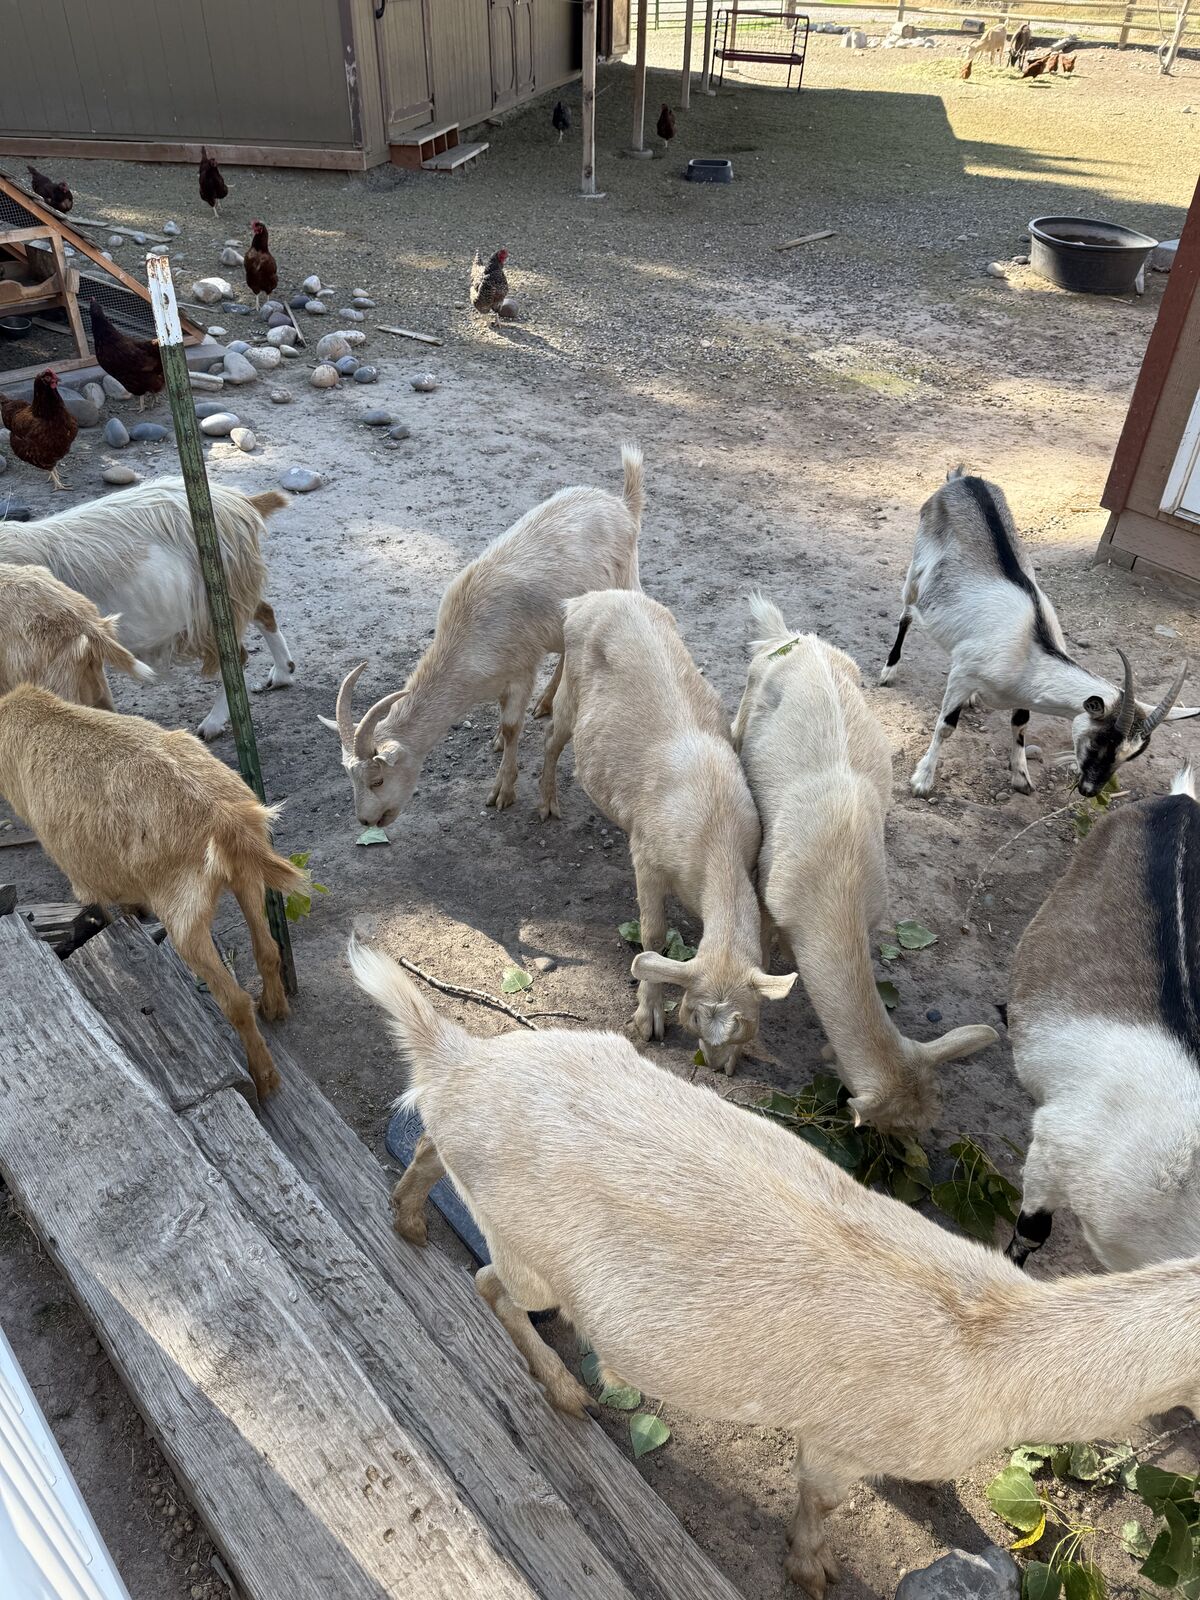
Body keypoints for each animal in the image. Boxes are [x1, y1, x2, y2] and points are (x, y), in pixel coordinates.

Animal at [0, 685, 304, 1099]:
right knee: (268, 950)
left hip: (184, 916)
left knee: (234, 1000)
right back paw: (274, 1009)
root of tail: (224, 818)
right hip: (247, 877)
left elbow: (98, 906)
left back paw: (265, 1076)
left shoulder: (78, 869)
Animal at [322, 445, 643, 829]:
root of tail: (622, 504)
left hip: (626, 577)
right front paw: (497, 742)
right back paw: (545, 702)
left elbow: (512, 725)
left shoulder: (522, 668)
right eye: (350, 778)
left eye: (378, 779)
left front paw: (502, 791)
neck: (468, 637)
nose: (367, 821)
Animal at [352, 938, 1200, 1600]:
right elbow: (819, 1505)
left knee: (425, 1139)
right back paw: (568, 1395)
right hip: (529, 1253)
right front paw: (814, 1574)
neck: (998, 1349)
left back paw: (408, 1220)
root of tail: (462, 1058)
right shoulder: (839, 1439)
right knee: (490, 1283)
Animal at [539, 588, 795, 1072]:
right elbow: (653, 936)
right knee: (551, 739)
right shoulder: (647, 856)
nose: (714, 1066)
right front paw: (648, 1018)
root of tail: (588, 599)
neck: (715, 833)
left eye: (744, 1023)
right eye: (693, 1015)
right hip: (569, 691)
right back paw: (545, 803)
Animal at [880, 469, 1198, 797]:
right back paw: (889, 671)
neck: (1031, 648)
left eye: (1132, 755)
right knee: (906, 614)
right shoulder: (963, 675)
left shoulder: (1015, 690)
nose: (1089, 790)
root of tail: (962, 479)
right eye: (1102, 741)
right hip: (916, 573)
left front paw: (1021, 776)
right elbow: (945, 726)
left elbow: (1021, 723)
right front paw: (922, 779)